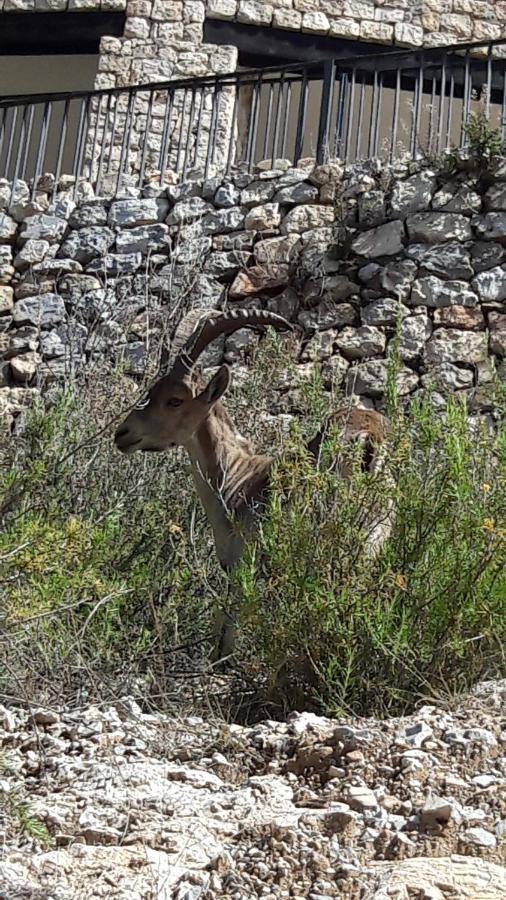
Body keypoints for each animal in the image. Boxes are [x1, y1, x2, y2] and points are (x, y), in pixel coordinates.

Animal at [115, 310, 396, 652]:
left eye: (175, 400)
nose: (122, 434)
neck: (236, 477)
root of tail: (369, 439)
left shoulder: (243, 566)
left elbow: (228, 633)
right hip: (372, 540)